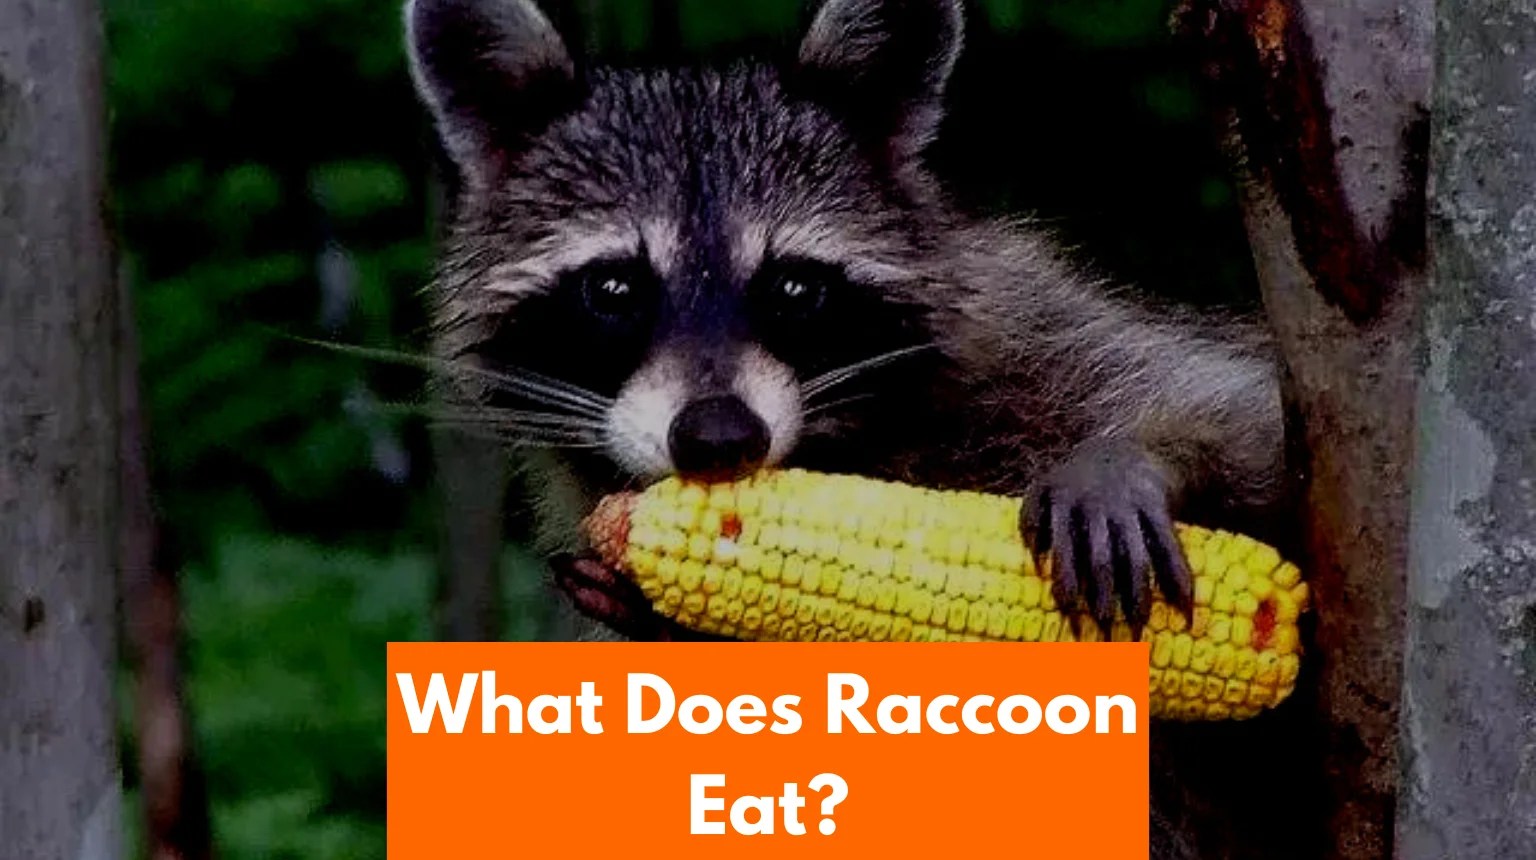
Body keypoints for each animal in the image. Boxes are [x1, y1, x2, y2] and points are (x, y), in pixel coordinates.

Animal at [404, 0, 1287, 643]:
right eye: (615, 289)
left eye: (794, 288)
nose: (718, 438)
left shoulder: (1035, 337)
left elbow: (1251, 421)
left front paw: (1129, 457)